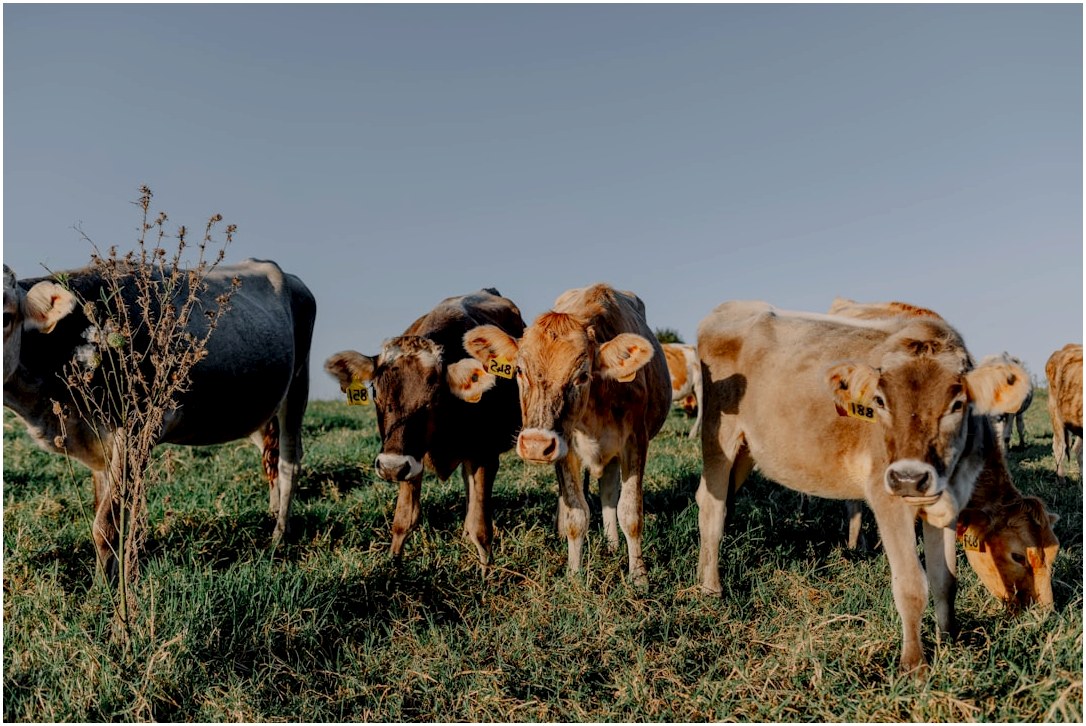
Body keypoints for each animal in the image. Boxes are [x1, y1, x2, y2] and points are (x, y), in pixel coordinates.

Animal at [3, 260, 316, 577]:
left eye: (6, 317)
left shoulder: (135, 429)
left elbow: (106, 524)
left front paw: (105, 588)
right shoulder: (97, 441)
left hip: (297, 387)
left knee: (289, 461)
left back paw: (279, 535)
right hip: (261, 408)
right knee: (270, 458)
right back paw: (273, 513)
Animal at [324, 288, 525, 566]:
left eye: (434, 397)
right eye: (375, 393)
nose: (390, 467)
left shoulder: (485, 455)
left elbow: (481, 528)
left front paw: (487, 571)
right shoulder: (410, 458)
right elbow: (403, 520)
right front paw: (393, 566)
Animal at [460, 283, 671, 585]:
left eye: (581, 375)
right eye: (520, 370)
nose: (535, 445)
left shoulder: (635, 442)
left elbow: (630, 512)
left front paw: (639, 576)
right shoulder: (565, 446)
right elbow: (576, 514)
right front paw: (573, 575)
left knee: (610, 493)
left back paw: (612, 544)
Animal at [696, 300, 1033, 672]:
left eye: (957, 404)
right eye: (880, 401)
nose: (909, 478)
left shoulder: (949, 502)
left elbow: (945, 580)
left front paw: (949, 643)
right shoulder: (887, 498)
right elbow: (912, 585)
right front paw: (914, 665)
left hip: (746, 449)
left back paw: (700, 575)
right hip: (719, 436)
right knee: (713, 506)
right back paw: (712, 588)